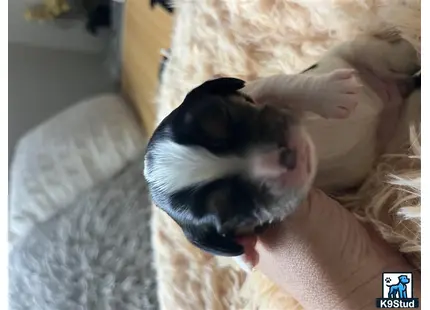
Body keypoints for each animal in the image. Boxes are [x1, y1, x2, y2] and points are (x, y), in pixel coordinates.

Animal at [144, 33, 420, 272]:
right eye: (234, 206)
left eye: (221, 116)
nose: (285, 155)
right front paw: (244, 258)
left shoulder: (255, 88)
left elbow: (284, 85)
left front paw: (332, 95)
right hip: (401, 127)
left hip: (362, 51)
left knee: (388, 55)